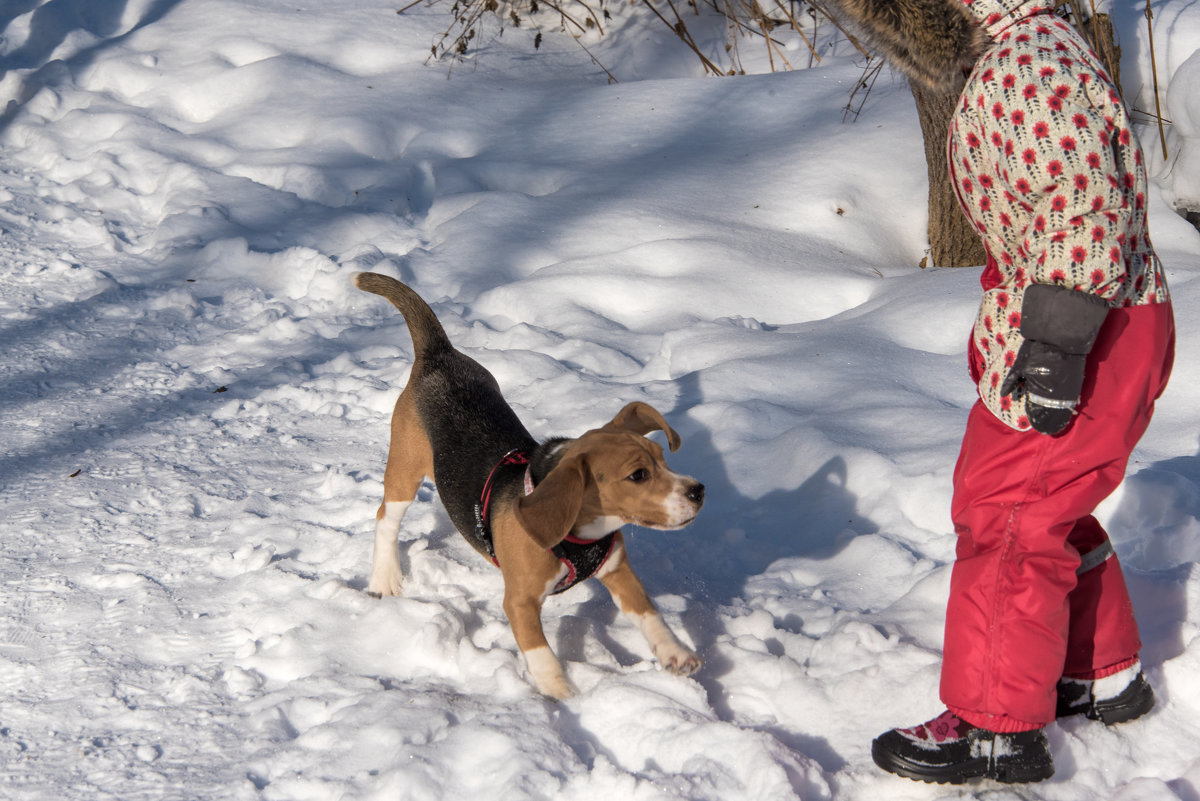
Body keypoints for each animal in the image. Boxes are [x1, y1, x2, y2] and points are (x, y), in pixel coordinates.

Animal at [355, 272, 705, 695]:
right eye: (638, 475)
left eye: (662, 459)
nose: (698, 491)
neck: (581, 534)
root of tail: (439, 355)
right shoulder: (520, 602)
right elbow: (541, 654)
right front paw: (564, 696)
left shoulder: (620, 572)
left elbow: (650, 615)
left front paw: (676, 654)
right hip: (404, 469)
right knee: (385, 519)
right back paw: (385, 578)